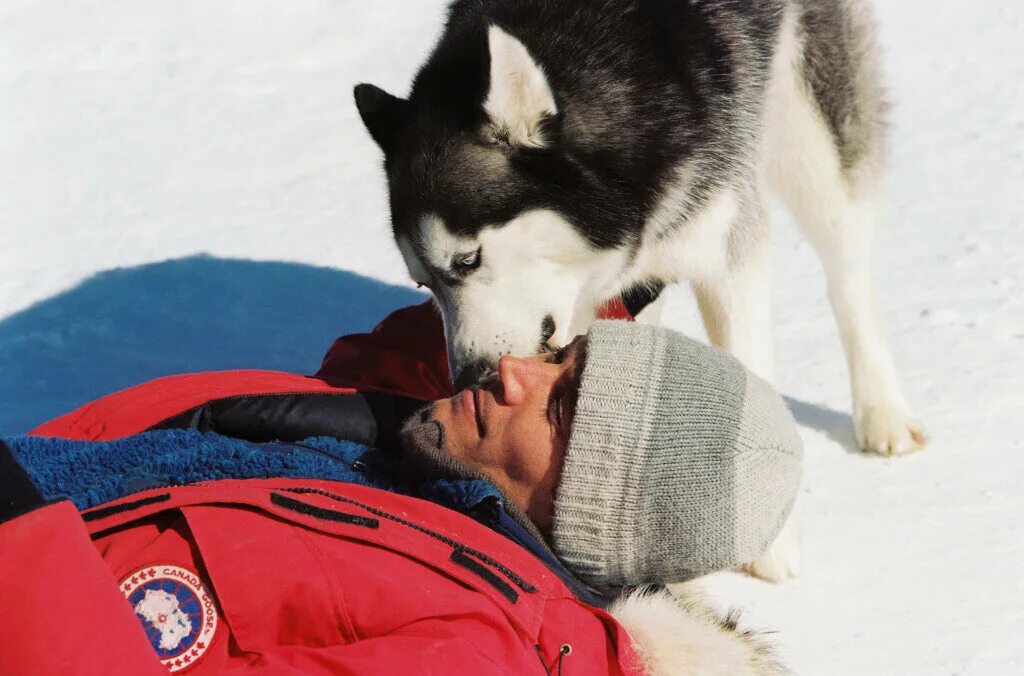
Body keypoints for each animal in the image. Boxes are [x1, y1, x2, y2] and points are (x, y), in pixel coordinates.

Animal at [354, 0, 929, 577]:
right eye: (422, 283)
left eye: (468, 259)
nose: (469, 378)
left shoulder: (725, 248)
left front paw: (770, 542)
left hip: (809, 129)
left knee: (847, 269)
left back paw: (883, 411)